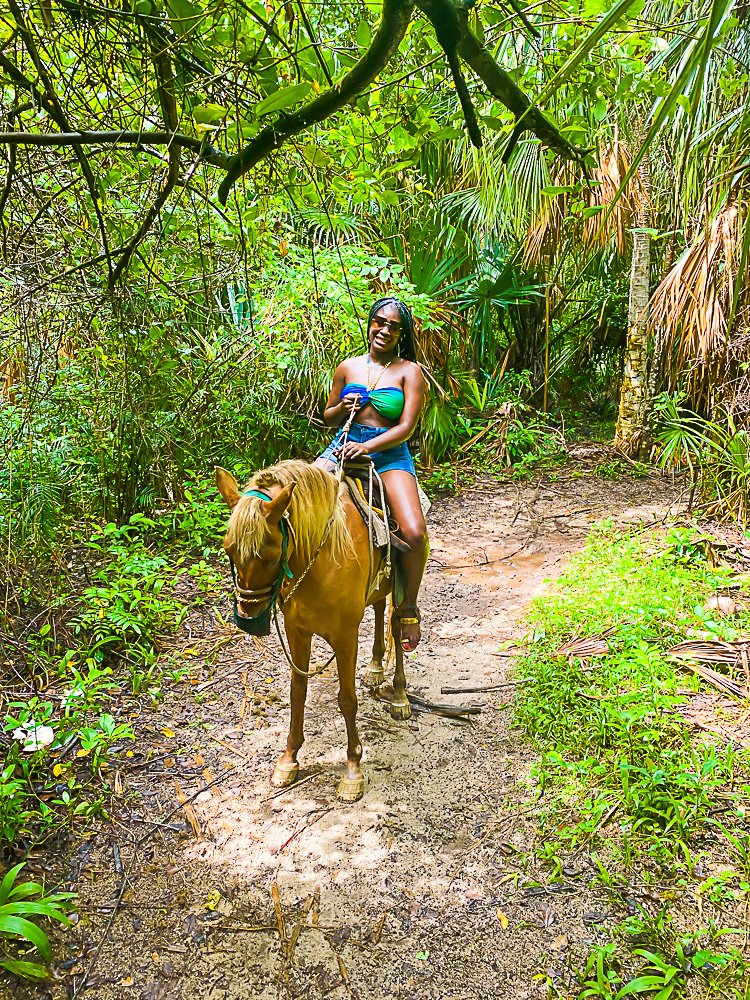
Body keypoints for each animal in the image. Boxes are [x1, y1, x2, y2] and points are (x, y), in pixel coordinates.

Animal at [214, 462, 414, 804]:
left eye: (269, 554)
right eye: (229, 550)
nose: (248, 620)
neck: (320, 559)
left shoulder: (345, 637)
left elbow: (347, 699)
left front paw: (352, 771)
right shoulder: (298, 632)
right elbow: (297, 694)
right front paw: (288, 759)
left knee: (398, 624)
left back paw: (399, 695)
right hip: (378, 588)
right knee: (378, 611)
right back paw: (375, 669)